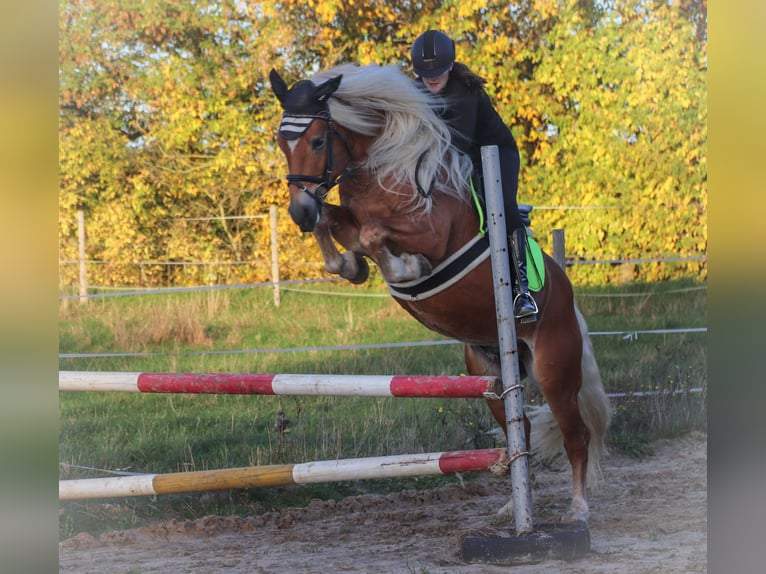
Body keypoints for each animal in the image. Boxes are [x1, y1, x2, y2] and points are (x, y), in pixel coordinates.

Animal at [269, 63, 611, 524]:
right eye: (281, 142)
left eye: (318, 141)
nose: (298, 213)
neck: (383, 165)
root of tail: (570, 303)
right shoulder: (349, 216)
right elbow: (338, 225)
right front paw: (352, 265)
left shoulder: (431, 233)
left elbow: (375, 234)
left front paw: (405, 268)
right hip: (490, 373)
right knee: (516, 431)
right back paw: (513, 505)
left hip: (555, 370)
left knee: (576, 436)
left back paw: (577, 508)